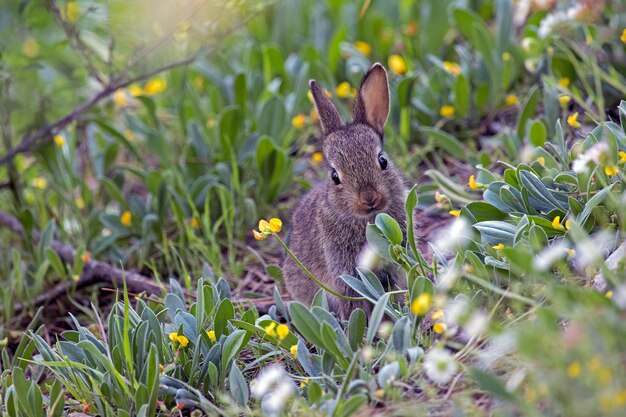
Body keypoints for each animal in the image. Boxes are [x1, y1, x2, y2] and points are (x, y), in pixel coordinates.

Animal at [282, 63, 410, 320]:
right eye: (334, 176)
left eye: (382, 161)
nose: (369, 198)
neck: (367, 219)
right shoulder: (344, 272)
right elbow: (353, 303)